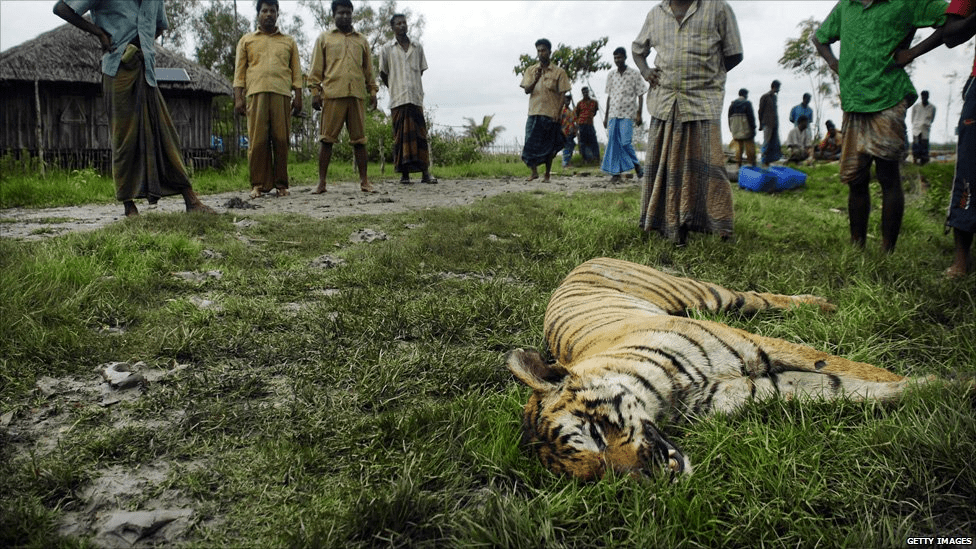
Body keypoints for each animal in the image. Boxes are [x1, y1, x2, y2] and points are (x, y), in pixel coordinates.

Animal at [507, 257, 916, 480]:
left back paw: (823, 305)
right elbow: (838, 388)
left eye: (593, 433)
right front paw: (919, 391)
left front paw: (926, 385)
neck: (667, 398)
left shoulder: (761, 348)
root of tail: (584, 261)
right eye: (593, 476)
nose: (651, 481)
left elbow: (847, 366)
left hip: (708, 296)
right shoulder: (742, 392)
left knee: (759, 297)